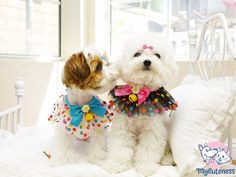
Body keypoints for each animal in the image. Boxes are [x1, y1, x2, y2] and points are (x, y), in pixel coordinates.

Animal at [104, 34, 178, 176]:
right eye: (137, 54)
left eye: (157, 55)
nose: (147, 62)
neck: (140, 94)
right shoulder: (123, 129)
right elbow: (120, 148)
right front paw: (116, 164)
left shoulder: (153, 131)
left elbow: (148, 150)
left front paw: (145, 167)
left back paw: (167, 160)